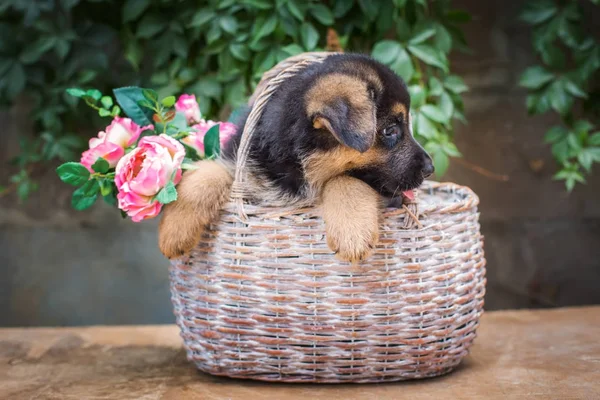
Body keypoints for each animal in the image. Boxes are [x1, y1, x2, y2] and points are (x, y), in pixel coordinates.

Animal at [157, 54, 434, 264]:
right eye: (390, 130)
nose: (430, 168)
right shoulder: (240, 167)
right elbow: (206, 174)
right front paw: (175, 233)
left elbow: (345, 179)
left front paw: (352, 233)